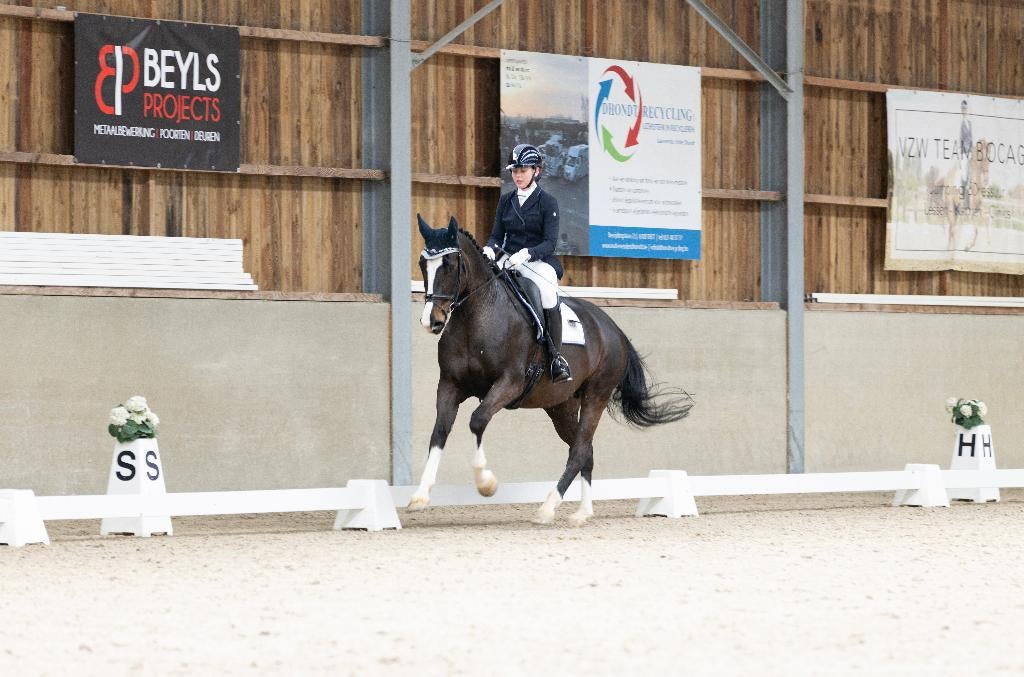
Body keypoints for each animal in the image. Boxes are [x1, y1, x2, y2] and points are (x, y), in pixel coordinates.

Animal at [410, 214, 693, 525]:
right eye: (423, 263)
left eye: (449, 263)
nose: (432, 321)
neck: (477, 317)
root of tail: (614, 330)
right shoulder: (450, 384)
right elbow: (439, 431)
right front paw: (420, 496)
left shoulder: (509, 383)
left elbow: (477, 420)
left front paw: (486, 483)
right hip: (561, 405)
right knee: (585, 451)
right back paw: (582, 512)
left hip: (596, 395)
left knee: (580, 450)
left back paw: (547, 508)